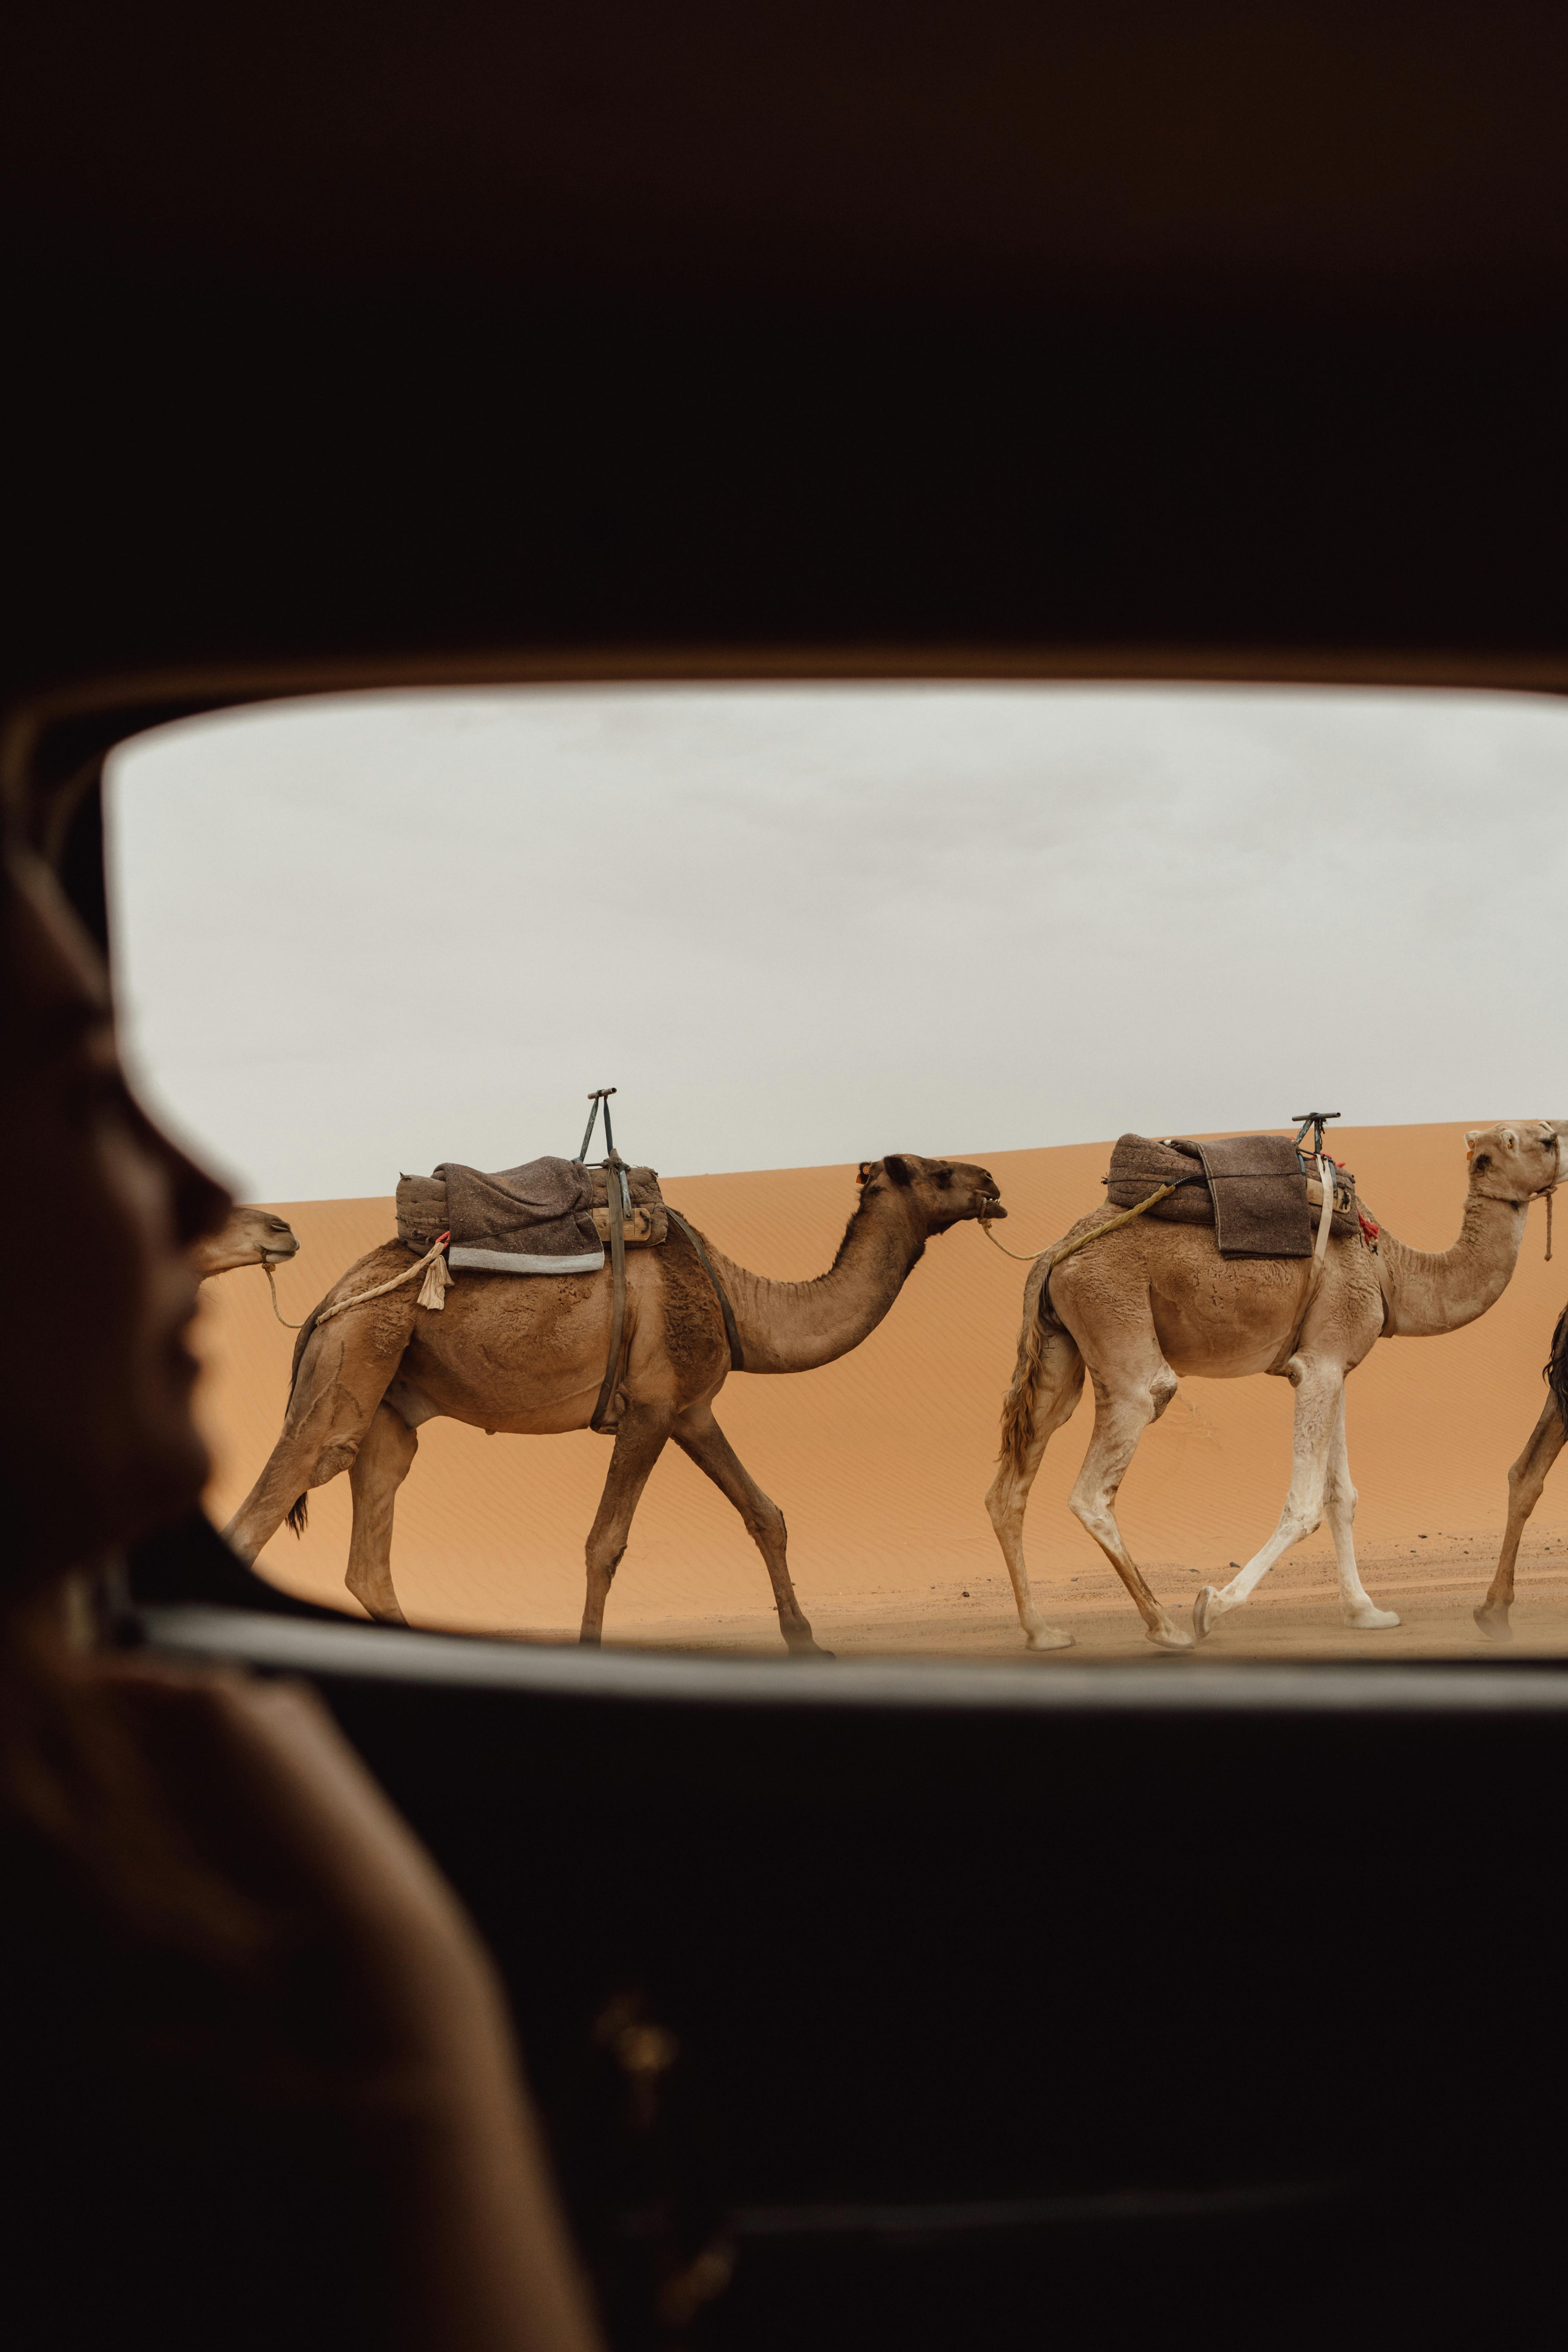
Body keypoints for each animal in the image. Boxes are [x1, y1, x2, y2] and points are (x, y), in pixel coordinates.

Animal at [221, 1157, 1006, 1656]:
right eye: (936, 1171)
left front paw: (808, 1641)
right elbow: (606, 1541)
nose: (993, 1183)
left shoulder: (691, 1408)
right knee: (270, 1505)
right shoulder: (651, 1410)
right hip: (352, 1360)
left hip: (389, 1403)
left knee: (369, 1558)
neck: (738, 1301)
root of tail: (329, 1298)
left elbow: (765, 1514)